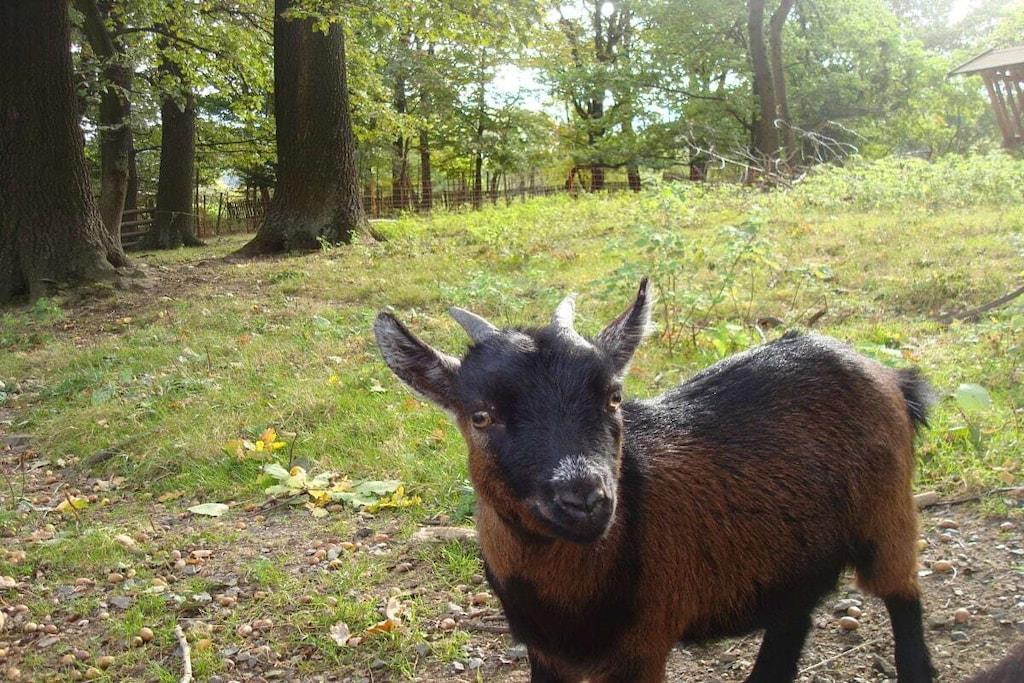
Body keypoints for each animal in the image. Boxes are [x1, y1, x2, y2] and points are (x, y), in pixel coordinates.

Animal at [374, 278, 934, 682]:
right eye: (481, 416)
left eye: (613, 396)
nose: (585, 500)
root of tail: (892, 377)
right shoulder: (545, 651)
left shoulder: (642, 647)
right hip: (794, 554)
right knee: (792, 620)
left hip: (888, 517)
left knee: (903, 598)